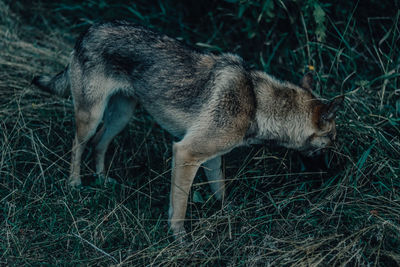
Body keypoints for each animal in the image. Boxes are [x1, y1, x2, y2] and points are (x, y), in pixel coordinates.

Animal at [32, 21, 344, 241]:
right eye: (331, 142)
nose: (335, 174)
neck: (256, 103)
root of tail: (88, 30)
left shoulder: (212, 158)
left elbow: (220, 191)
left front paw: (228, 213)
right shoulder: (186, 153)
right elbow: (180, 207)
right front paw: (180, 240)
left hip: (120, 117)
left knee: (99, 144)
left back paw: (103, 181)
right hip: (91, 117)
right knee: (77, 145)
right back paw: (75, 185)